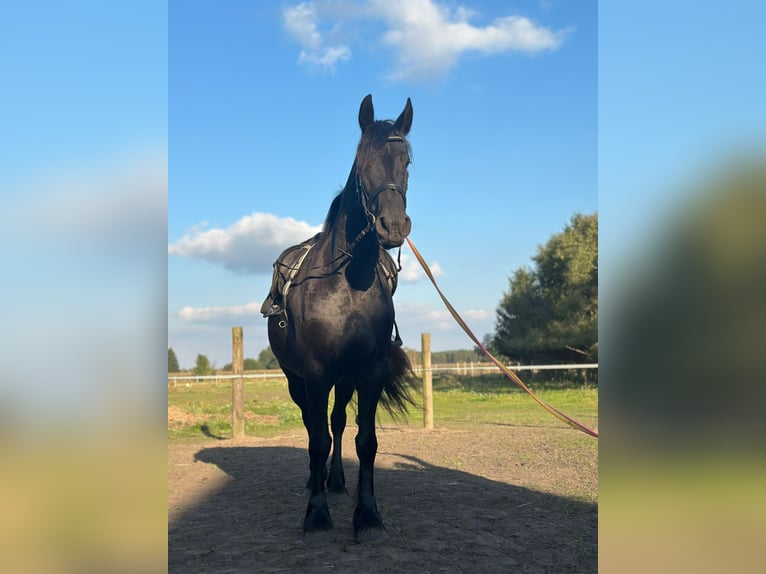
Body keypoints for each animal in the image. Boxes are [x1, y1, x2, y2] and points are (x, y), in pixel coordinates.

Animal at [264, 94, 416, 542]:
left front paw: (367, 514)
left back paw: (334, 480)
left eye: (406, 162)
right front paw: (316, 515)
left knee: (335, 422)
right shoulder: (314, 373)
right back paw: (315, 483)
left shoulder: (369, 370)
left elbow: (365, 440)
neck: (346, 284)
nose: (393, 225)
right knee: (312, 426)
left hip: (344, 379)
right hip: (297, 379)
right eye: (363, 161)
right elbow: (314, 440)